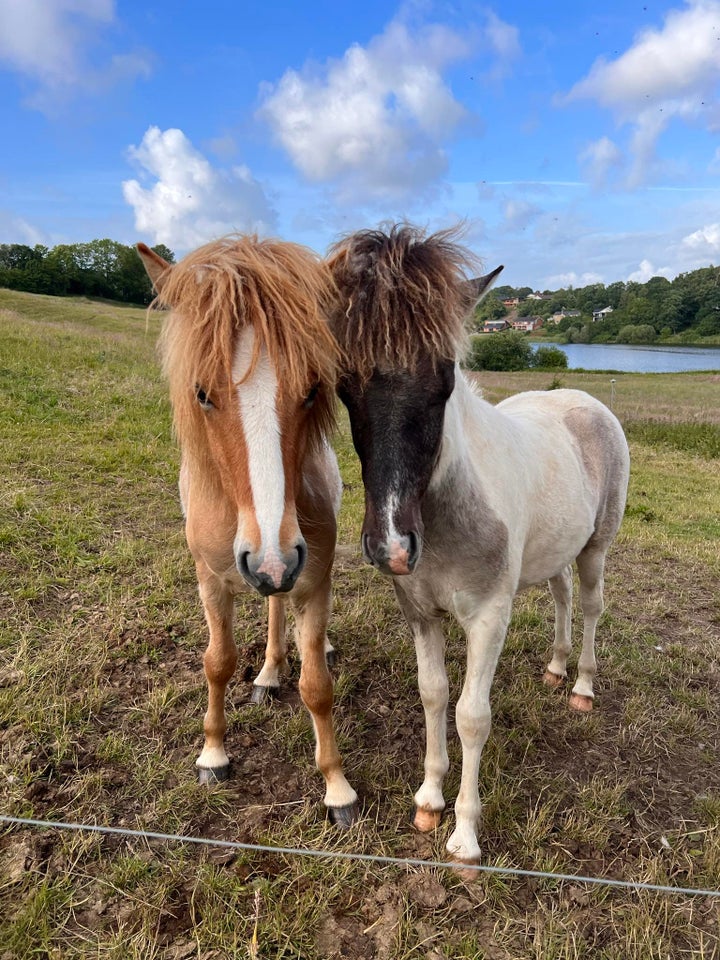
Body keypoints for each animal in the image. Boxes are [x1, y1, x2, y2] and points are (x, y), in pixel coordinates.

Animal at [137, 238, 358, 824]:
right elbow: (217, 663)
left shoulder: (312, 579)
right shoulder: (211, 581)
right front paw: (213, 754)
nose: (271, 560)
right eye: (202, 394)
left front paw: (337, 786)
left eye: (313, 389)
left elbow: (317, 687)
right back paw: (267, 674)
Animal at [328, 227, 632, 872]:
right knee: (563, 597)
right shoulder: (421, 614)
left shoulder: (489, 616)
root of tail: (586, 400)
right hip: (553, 552)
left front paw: (465, 836)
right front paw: (428, 800)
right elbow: (434, 695)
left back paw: (582, 687)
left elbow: (471, 715)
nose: (392, 546)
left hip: (596, 547)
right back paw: (555, 668)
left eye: (445, 383)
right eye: (345, 387)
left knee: (593, 605)